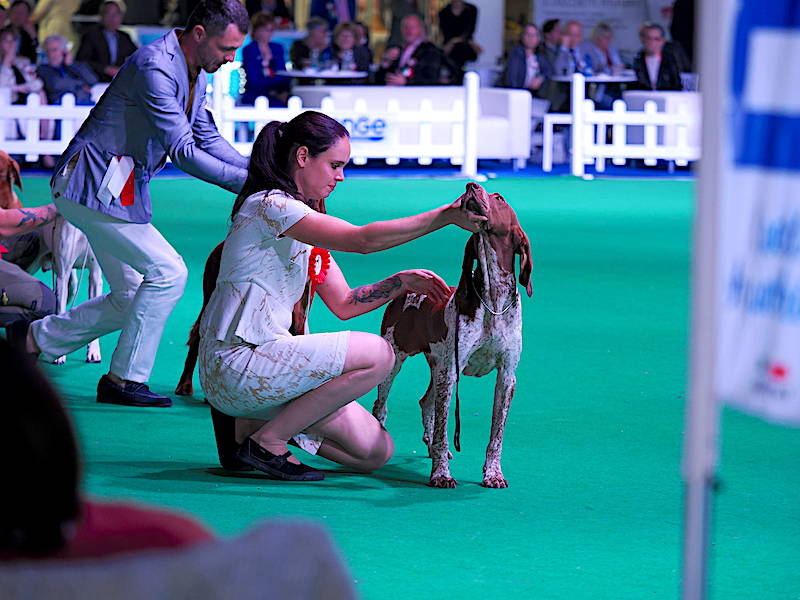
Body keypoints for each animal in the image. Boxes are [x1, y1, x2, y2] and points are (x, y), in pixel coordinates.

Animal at [374, 182, 532, 488]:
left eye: (499, 198)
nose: (471, 185)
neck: (493, 301)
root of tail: (405, 290)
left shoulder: (507, 376)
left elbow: (496, 435)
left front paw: (493, 474)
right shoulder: (452, 373)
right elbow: (443, 429)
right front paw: (441, 475)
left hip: (438, 366)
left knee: (426, 402)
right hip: (398, 359)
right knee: (382, 406)